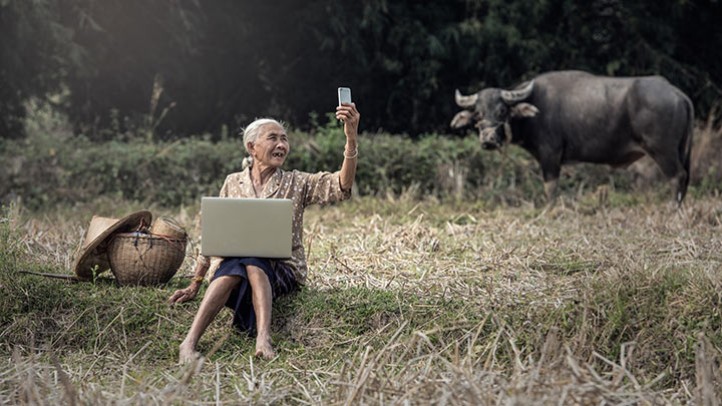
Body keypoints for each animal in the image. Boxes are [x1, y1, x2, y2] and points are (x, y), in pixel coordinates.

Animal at [450, 70, 692, 205]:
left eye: (502, 111)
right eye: (478, 113)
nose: (488, 139)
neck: (535, 109)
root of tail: (677, 93)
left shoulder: (550, 155)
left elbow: (550, 188)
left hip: (662, 150)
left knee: (677, 177)